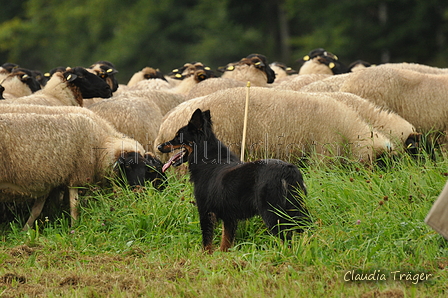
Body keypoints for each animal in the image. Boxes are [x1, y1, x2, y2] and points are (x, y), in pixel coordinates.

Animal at [0, 112, 163, 230]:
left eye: (146, 167)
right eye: (128, 166)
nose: (140, 189)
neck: (101, 143)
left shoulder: (50, 180)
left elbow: (36, 210)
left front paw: (25, 231)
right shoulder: (77, 175)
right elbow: (75, 206)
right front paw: (74, 228)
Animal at [159, 108, 310, 253]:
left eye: (178, 136)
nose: (159, 147)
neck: (207, 158)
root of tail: (288, 170)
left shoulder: (205, 212)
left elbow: (207, 242)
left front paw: (205, 256)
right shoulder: (229, 217)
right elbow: (226, 241)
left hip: (273, 214)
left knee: (286, 239)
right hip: (297, 210)